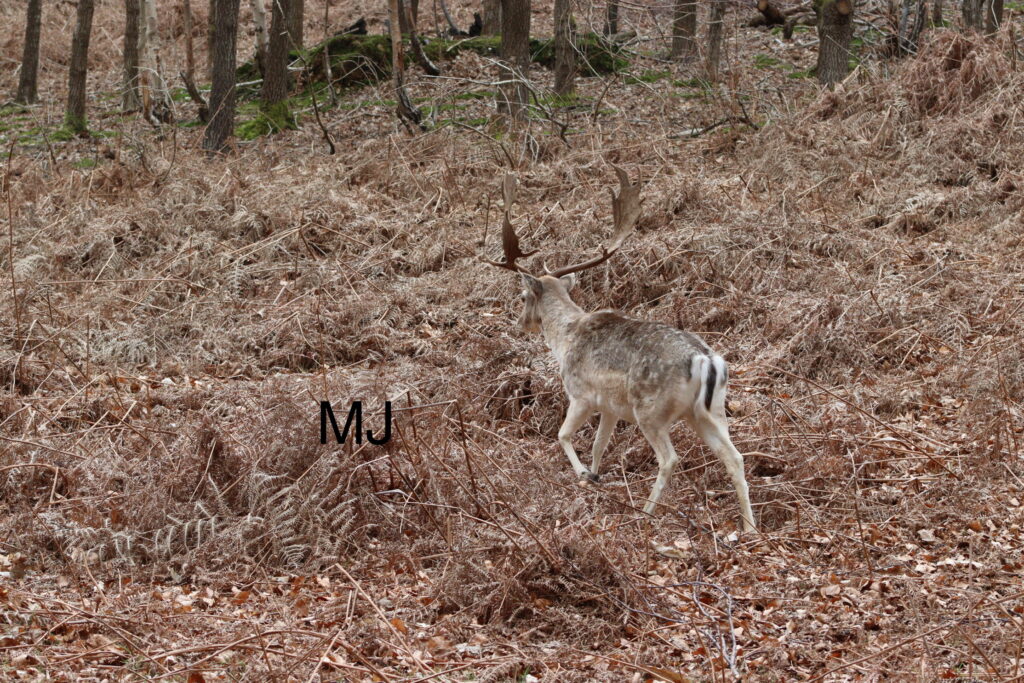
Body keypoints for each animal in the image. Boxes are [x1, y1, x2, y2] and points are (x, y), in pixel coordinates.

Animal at [483, 167, 756, 532]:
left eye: (523, 296)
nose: (520, 322)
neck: (565, 339)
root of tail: (705, 359)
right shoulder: (610, 407)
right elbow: (599, 445)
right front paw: (595, 475)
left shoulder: (581, 394)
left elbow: (563, 435)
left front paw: (584, 474)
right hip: (708, 412)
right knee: (735, 457)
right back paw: (749, 527)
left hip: (651, 410)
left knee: (669, 459)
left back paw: (647, 512)